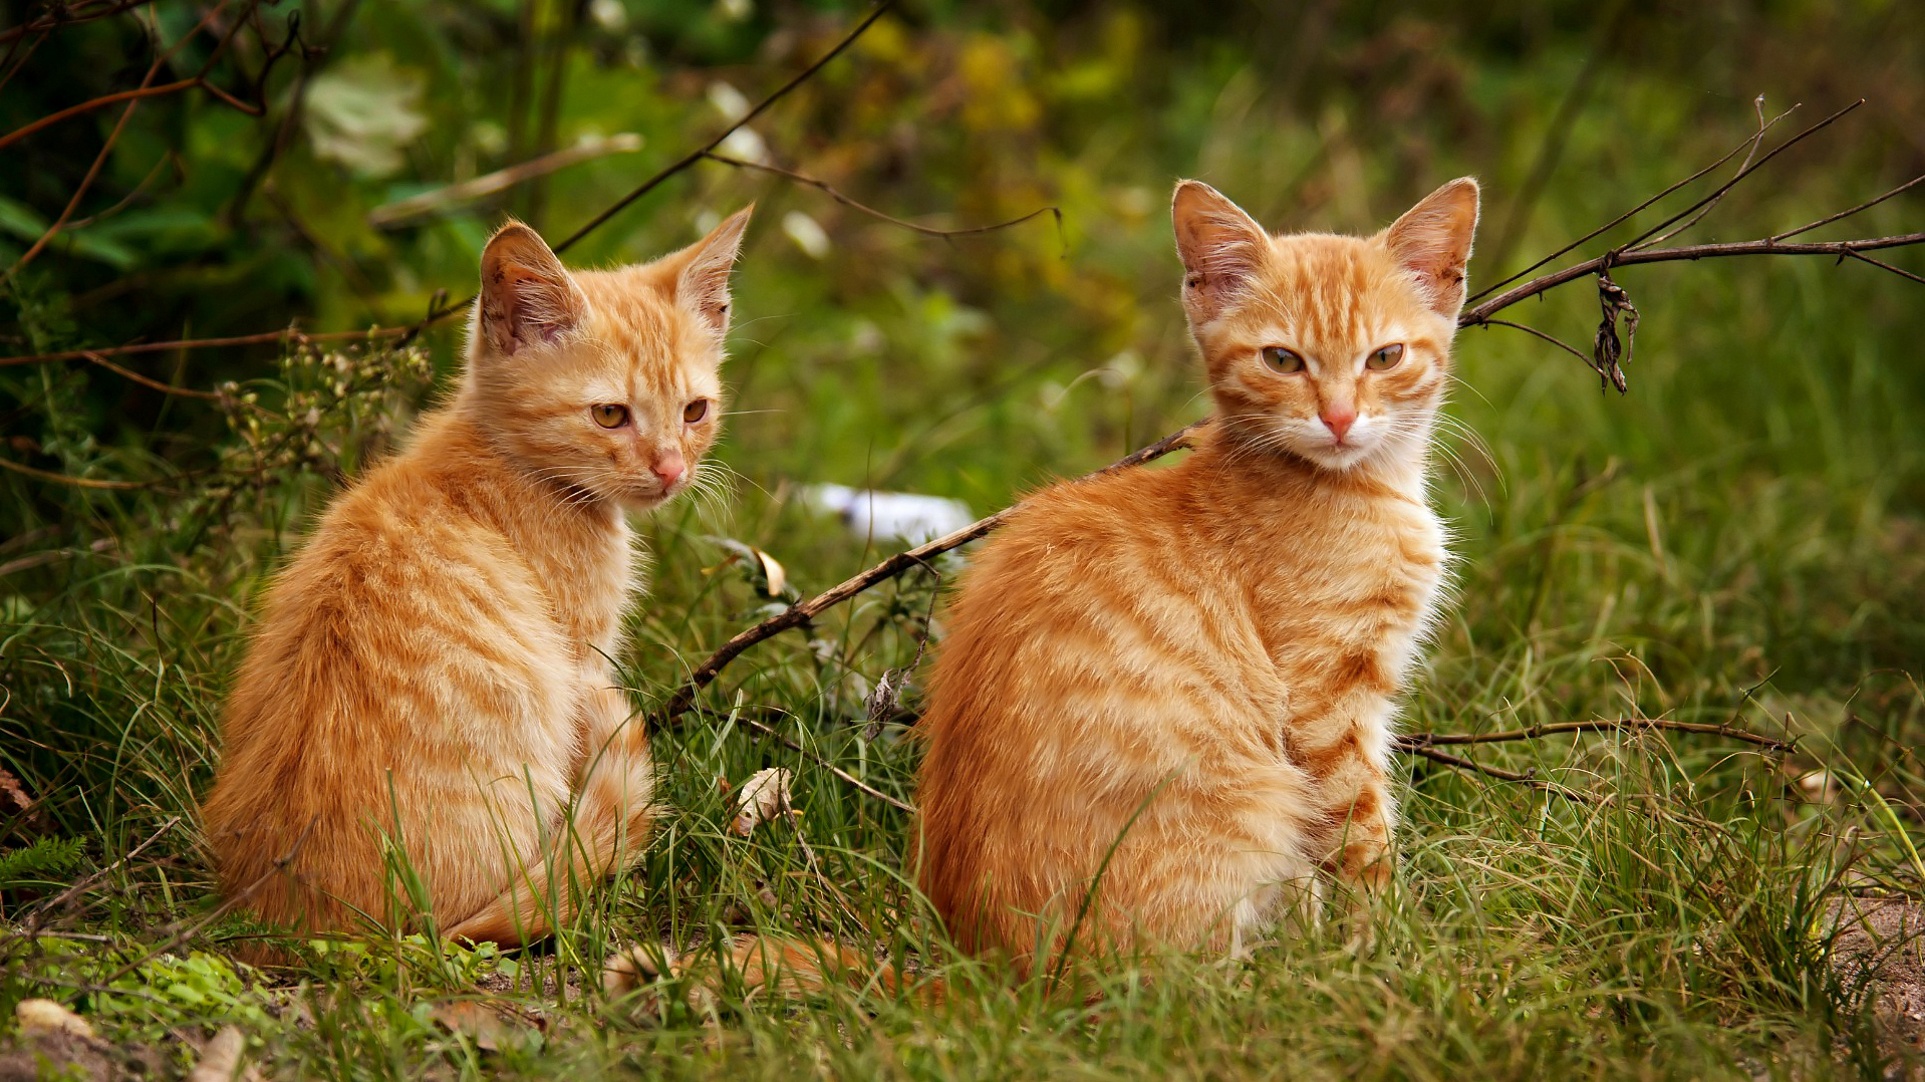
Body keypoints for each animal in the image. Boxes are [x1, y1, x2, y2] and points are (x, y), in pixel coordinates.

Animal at [908, 179, 1478, 970]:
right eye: (1283, 360)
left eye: (1385, 356)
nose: (1338, 418)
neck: (1356, 487)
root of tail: (980, 968)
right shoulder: (1324, 704)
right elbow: (1361, 830)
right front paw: (1385, 944)